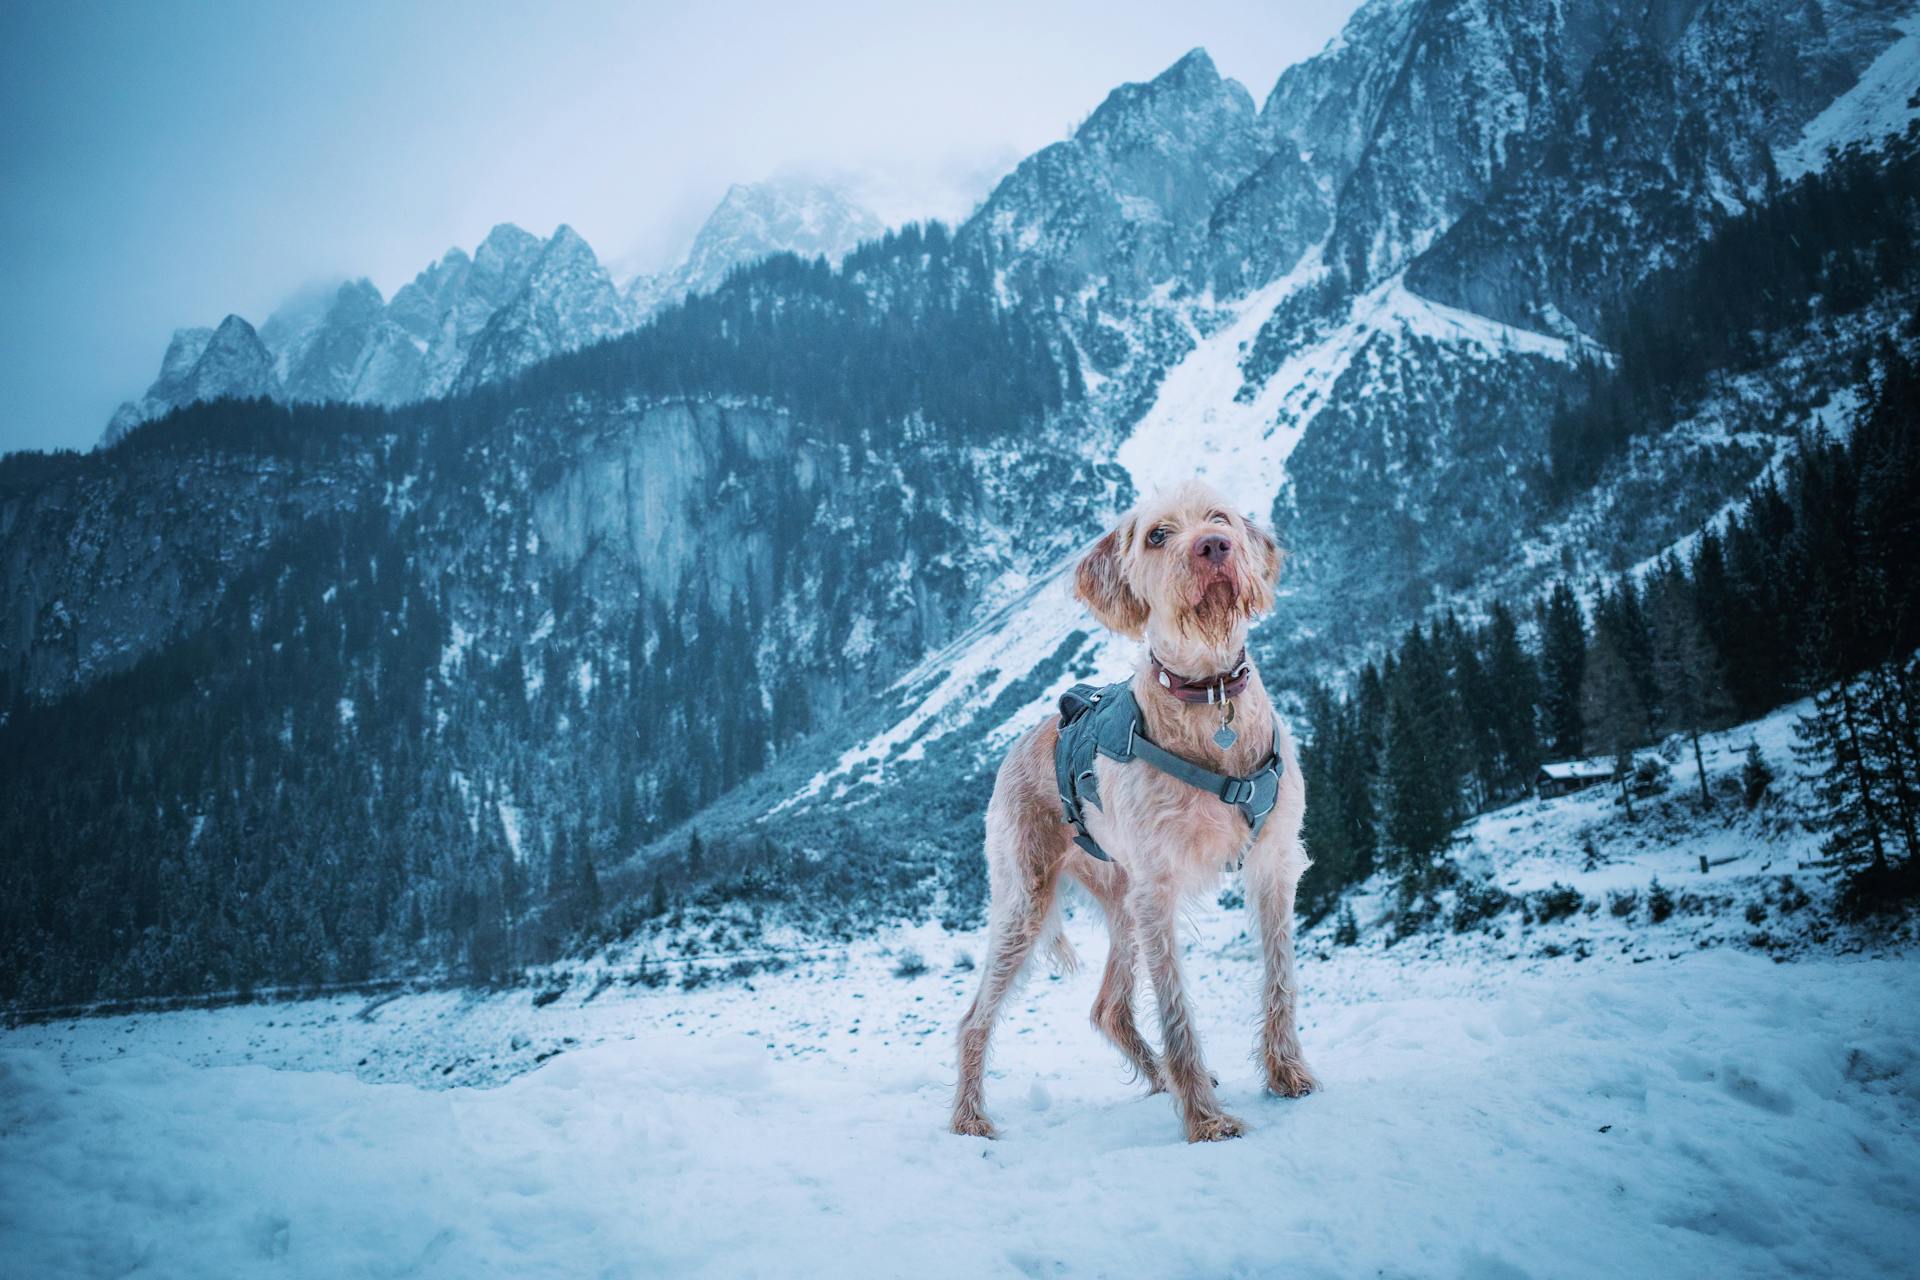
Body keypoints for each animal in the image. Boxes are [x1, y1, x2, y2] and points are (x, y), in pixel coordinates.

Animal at [948, 479, 1313, 1143]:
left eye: (1219, 517)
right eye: (1157, 536)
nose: (1213, 547)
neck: (1209, 697)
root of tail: (1017, 743)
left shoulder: (1274, 864)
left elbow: (1280, 979)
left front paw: (1286, 1072)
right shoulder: (1157, 891)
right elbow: (1175, 1010)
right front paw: (1206, 1121)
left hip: (1120, 900)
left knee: (1110, 1008)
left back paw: (1162, 1074)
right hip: (1027, 900)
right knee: (974, 1018)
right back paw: (968, 1118)